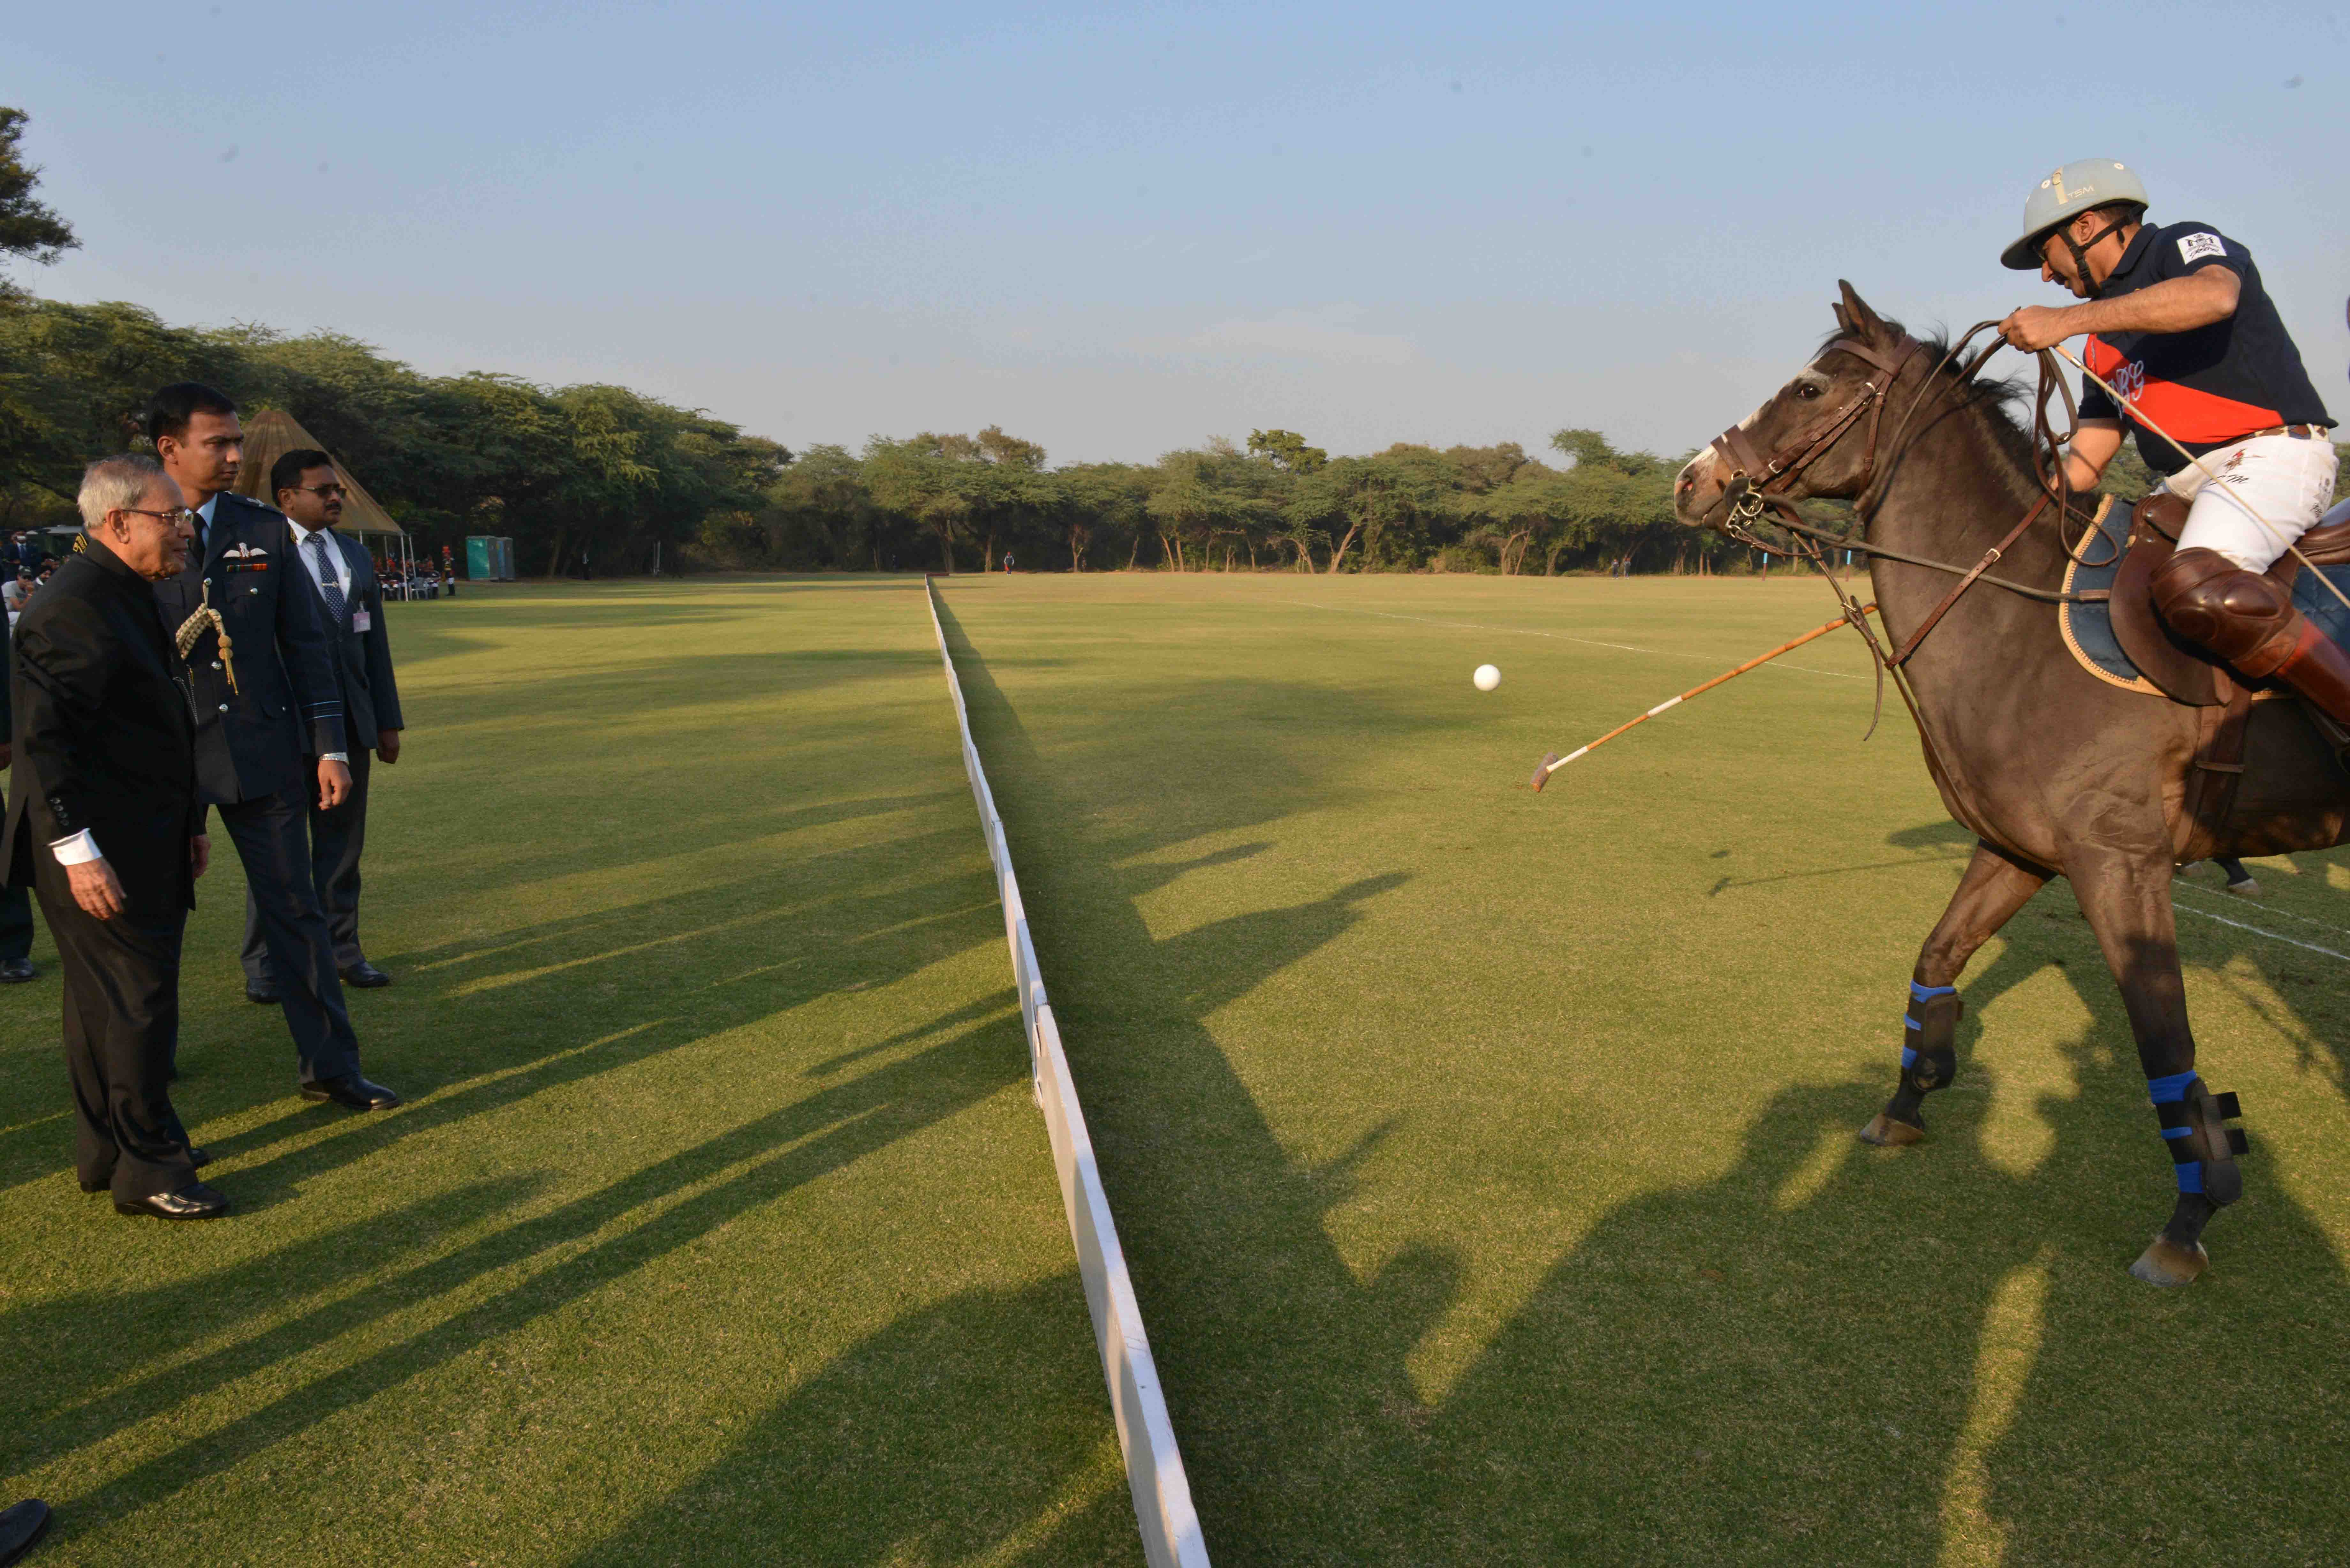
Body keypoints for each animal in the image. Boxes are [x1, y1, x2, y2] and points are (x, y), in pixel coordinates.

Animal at [1673, 285, 2350, 1288]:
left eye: (1810, 387)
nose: (1692, 480)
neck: (2013, 619)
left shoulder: (2119, 862)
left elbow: (2164, 1039)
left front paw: (2189, 1216)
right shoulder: (2019, 848)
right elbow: (1937, 959)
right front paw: (1906, 1102)